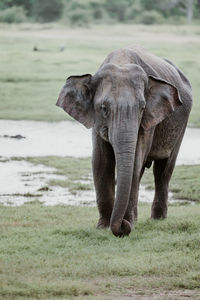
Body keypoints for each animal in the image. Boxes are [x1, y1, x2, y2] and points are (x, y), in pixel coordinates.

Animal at [56, 47, 192, 238]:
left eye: (142, 108)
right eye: (103, 108)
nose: (122, 226)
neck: (122, 61)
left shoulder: (148, 121)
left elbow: (134, 162)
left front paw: (128, 224)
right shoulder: (96, 121)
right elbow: (100, 162)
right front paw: (103, 227)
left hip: (182, 124)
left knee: (163, 170)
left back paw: (157, 219)